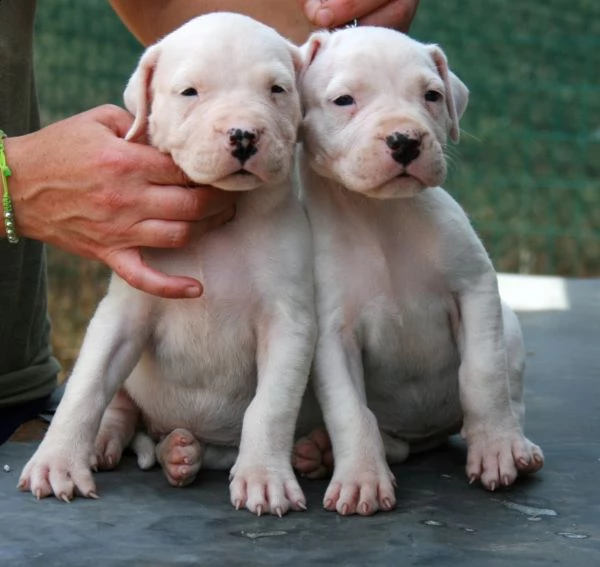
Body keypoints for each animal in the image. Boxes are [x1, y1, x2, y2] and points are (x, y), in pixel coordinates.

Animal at [17, 13, 316, 520]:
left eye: (277, 89)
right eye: (190, 92)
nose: (243, 134)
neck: (225, 218)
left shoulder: (288, 323)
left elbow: (271, 405)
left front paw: (265, 477)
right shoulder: (124, 314)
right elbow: (86, 386)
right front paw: (56, 462)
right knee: (121, 405)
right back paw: (115, 443)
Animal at [298, 30, 548, 520]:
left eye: (431, 95)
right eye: (343, 100)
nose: (405, 140)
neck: (381, 215)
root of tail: (427, 436)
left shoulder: (475, 289)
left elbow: (484, 376)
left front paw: (496, 450)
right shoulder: (332, 334)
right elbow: (349, 410)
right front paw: (360, 478)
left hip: (508, 327)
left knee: (511, 394)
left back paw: (518, 446)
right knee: (388, 440)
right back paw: (323, 451)